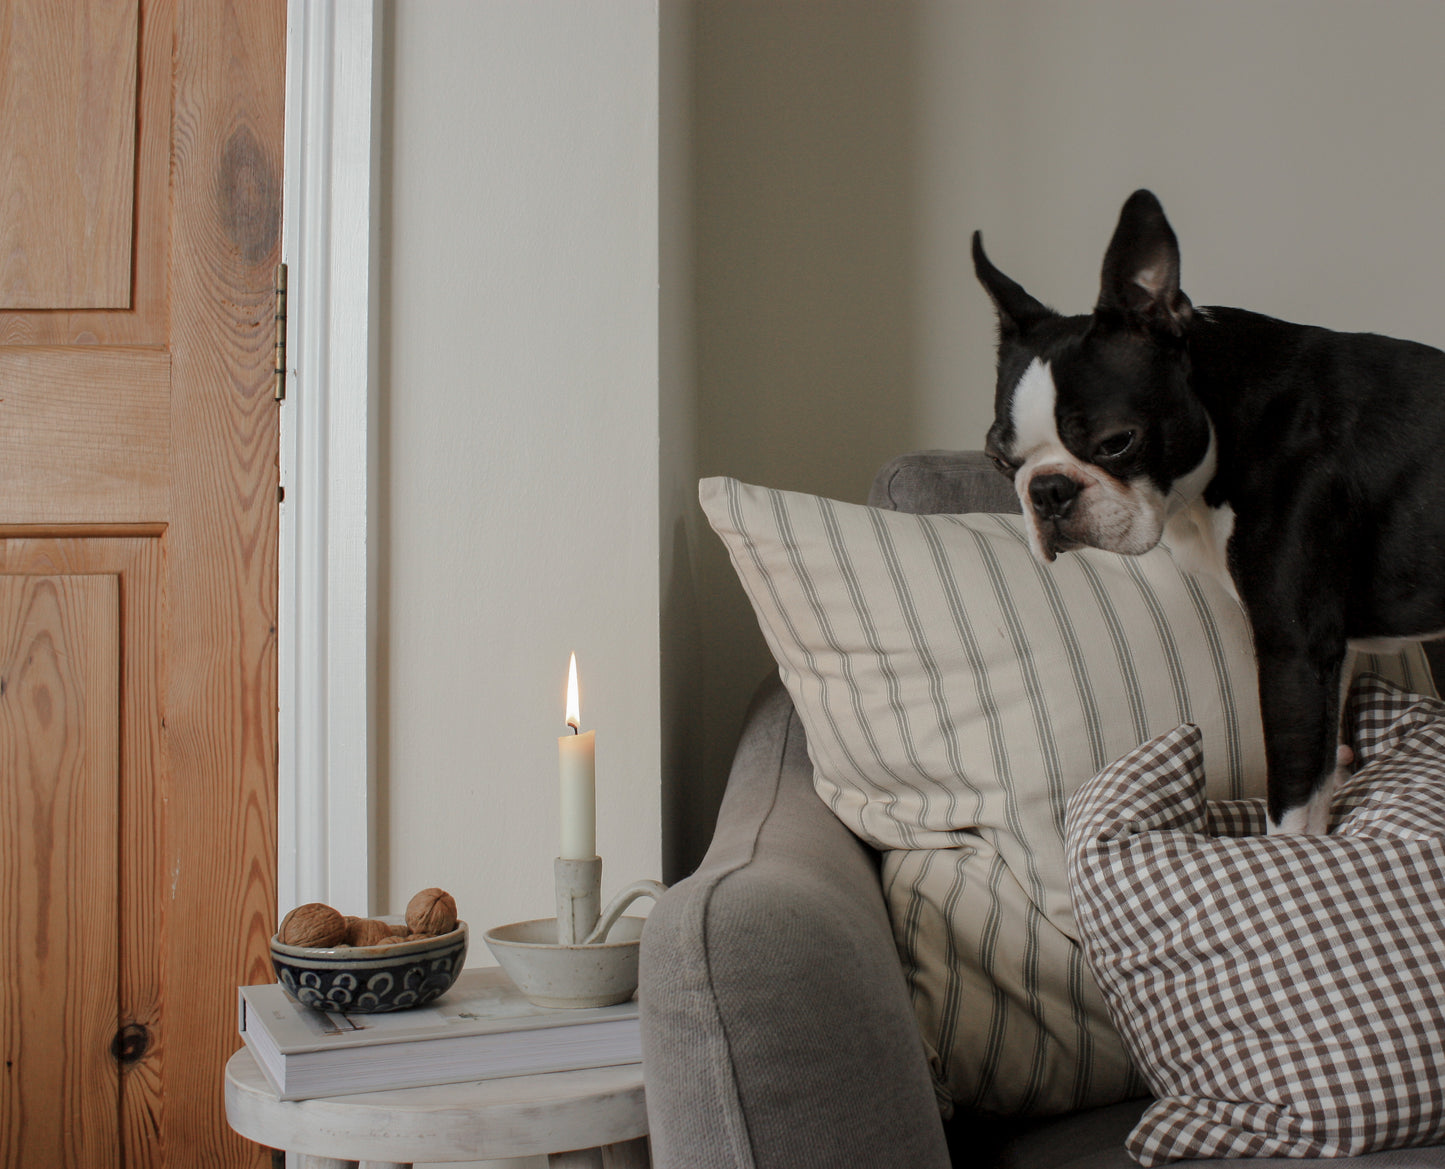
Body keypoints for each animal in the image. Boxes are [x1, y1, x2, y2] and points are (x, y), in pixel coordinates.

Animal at [971, 189, 1445, 832]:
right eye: (999, 459)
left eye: (1116, 442)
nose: (1047, 490)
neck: (1227, 413)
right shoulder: (1331, 650)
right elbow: (1325, 770)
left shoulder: (1293, 649)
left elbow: (1292, 805)